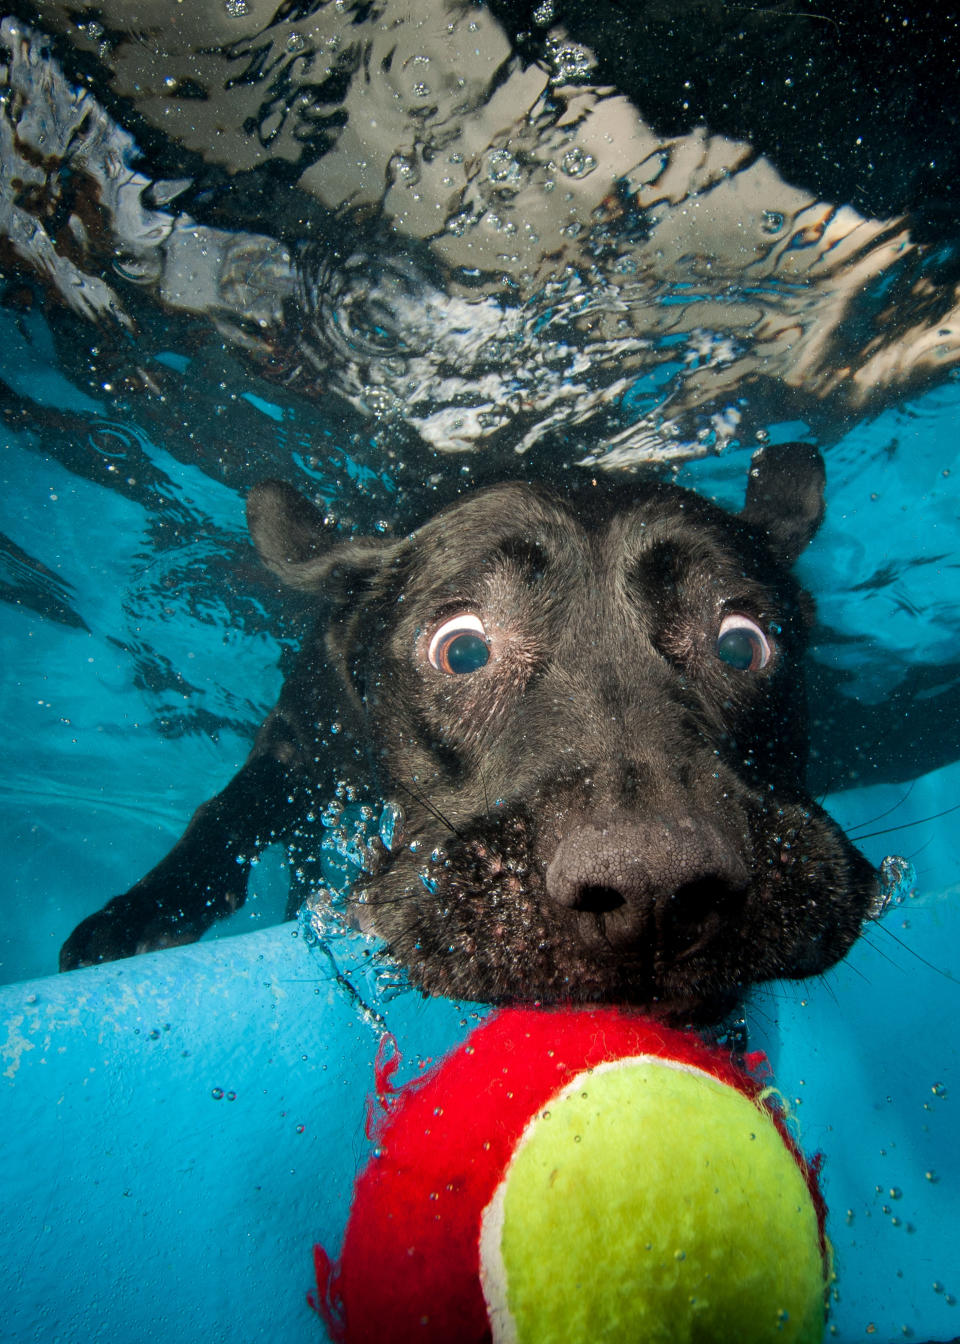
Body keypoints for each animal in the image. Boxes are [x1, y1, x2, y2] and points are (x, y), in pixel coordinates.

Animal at [61, 446, 876, 1021]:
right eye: (461, 650)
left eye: (742, 643)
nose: (655, 888)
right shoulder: (299, 734)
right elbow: (231, 807)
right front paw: (138, 915)